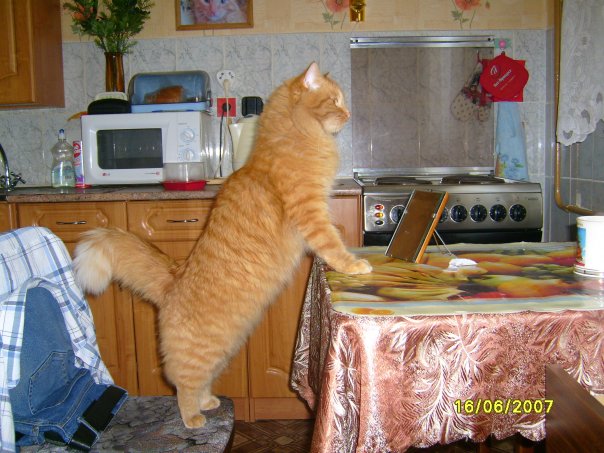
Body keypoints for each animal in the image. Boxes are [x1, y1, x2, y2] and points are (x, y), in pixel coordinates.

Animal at [73, 62, 372, 429]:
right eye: (334, 100)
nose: (349, 112)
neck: (293, 138)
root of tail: (174, 277)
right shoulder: (312, 213)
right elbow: (334, 245)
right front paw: (355, 264)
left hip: (224, 349)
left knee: (199, 382)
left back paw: (209, 403)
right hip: (203, 353)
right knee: (182, 385)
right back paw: (192, 418)